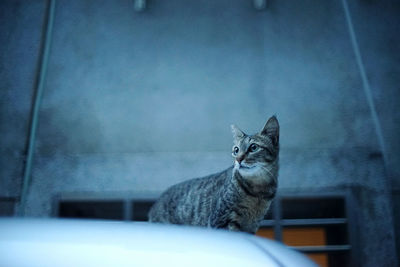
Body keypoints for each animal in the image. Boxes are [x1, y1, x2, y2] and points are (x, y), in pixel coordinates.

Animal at [148, 116, 280, 233]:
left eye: (253, 147)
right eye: (236, 150)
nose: (238, 159)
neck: (258, 191)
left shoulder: (252, 226)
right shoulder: (221, 219)